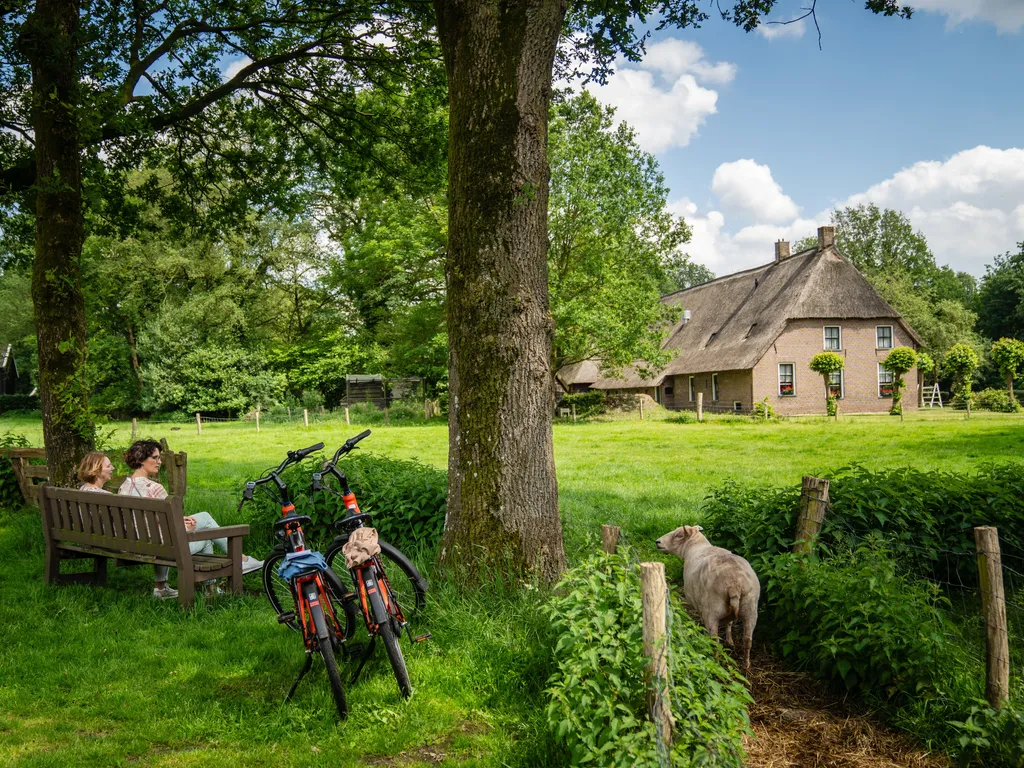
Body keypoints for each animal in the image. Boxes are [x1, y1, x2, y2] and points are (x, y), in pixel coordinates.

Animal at [655, 528, 761, 671]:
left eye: (678, 535)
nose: (658, 542)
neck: (697, 545)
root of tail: (734, 583)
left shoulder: (699, 606)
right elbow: (729, 624)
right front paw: (730, 641)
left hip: (712, 611)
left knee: (715, 640)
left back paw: (715, 661)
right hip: (751, 608)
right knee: (748, 639)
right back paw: (746, 664)